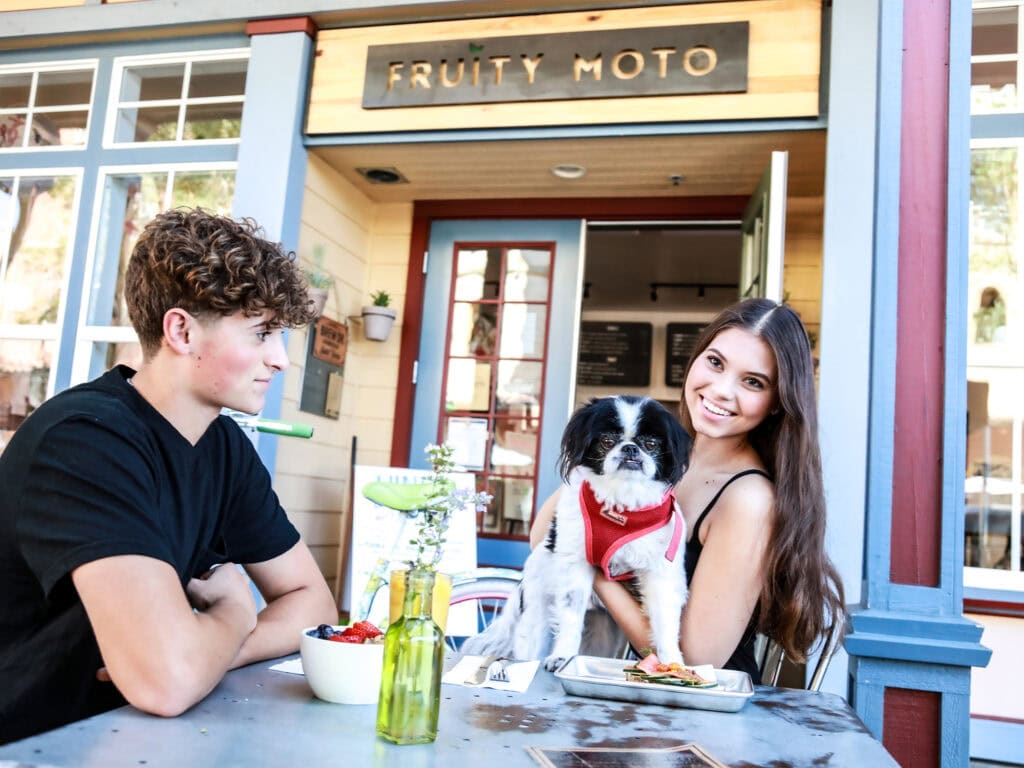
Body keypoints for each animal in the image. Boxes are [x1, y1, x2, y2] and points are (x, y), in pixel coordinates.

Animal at [462, 397, 688, 671]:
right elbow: (570, 616)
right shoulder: (575, 566)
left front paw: (673, 663)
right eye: (607, 441)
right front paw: (563, 656)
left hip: (603, 632)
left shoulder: (660, 573)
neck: (621, 507)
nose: (630, 449)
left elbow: (665, 622)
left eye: (651, 444)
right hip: (537, 618)